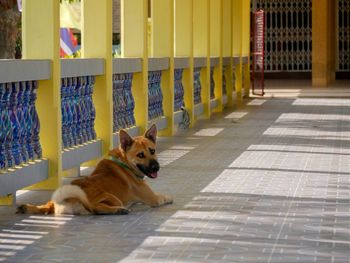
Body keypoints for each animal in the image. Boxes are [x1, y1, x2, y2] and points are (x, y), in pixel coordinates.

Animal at [17, 126, 173, 217]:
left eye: (152, 151)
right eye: (140, 155)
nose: (156, 167)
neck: (125, 162)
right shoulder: (153, 198)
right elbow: (162, 197)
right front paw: (168, 198)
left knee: (45, 207)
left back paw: (27, 208)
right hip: (111, 197)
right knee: (95, 209)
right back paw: (119, 209)